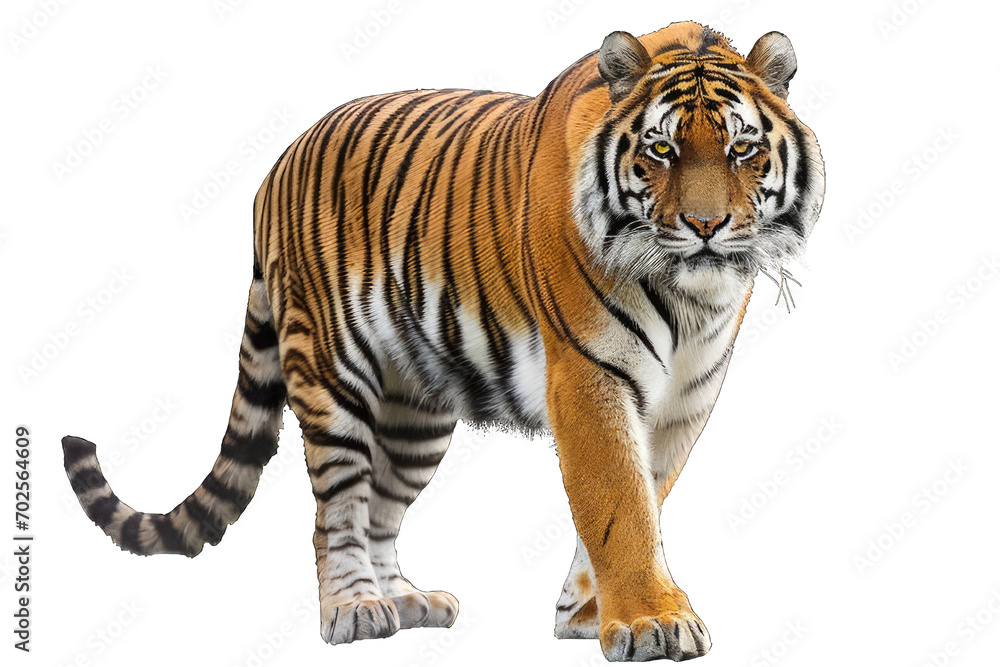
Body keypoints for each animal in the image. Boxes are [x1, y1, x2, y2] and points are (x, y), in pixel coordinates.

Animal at [62, 20, 824, 662]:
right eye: (661, 149)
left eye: (743, 149)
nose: (706, 226)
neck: (695, 297)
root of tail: (277, 165)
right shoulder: (590, 376)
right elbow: (619, 504)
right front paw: (649, 620)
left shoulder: (684, 400)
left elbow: (645, 496)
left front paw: (587, 613)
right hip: (330, 374)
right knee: (337, 507)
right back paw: (353, 609)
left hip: (416, 413)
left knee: (380, 506)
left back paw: (404, 600)